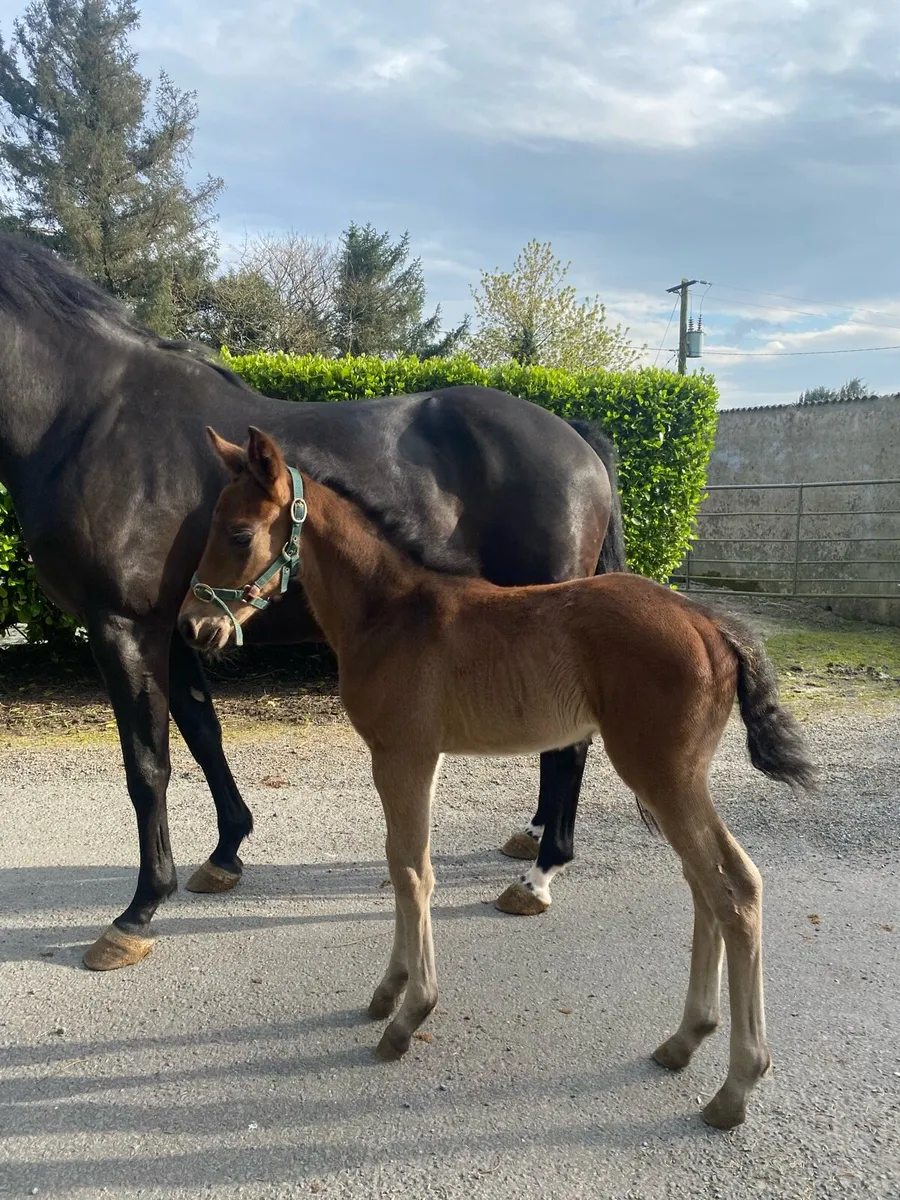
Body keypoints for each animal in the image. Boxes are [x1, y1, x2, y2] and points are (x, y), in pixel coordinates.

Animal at [0, 233, 626, 972]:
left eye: (240, 532)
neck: (87, 418)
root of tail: (575, 435)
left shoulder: (122, 627)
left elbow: (147, 766)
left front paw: (139, 911)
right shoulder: (176, 627)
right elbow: (204, 735)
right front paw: (225, 854)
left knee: (571, 742)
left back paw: (540, 874)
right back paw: (532, 838)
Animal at [179, 426, 816, 1130]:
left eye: (239, 533)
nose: (192, 626)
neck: (391, 611)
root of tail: (712, 625)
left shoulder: (404, 754)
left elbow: (412, 870)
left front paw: (409, 1015)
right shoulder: (405, 757)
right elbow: (402, 862)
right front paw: (389, 992)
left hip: (664, 773)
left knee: (735, 892)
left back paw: (734, 1086)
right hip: (675, 778)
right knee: (712, 886)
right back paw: (683, 1041)